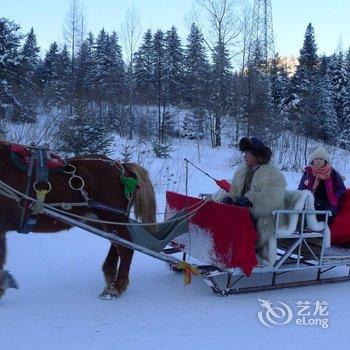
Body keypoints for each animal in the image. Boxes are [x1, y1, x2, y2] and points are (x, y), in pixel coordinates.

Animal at [0, 141, 157, 300]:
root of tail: (121, 167)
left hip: (111, 216)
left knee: (126, 247)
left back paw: (116, 287)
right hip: (103, 219)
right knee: (117, 242)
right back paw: (110, 275)